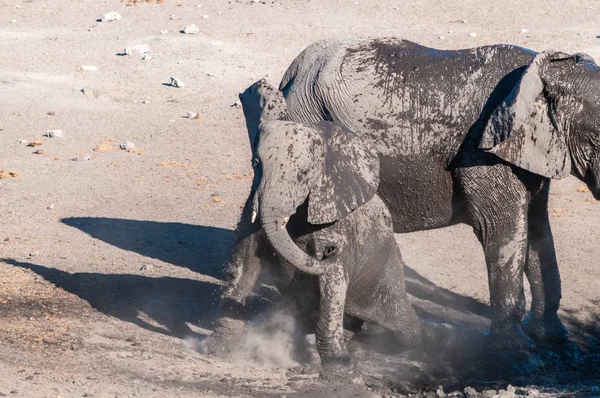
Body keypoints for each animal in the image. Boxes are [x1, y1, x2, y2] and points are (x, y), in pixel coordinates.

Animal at [204, 80, 452, 374]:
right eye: (256, 164)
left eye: (305, 174)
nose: (329, 251)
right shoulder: (253, 201)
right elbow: (244, 260)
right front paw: (216, 349)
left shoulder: (336, 219)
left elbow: (333, 282)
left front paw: (339, 369)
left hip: (389, 271)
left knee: (406, 329)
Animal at [274, 38, 600, 350]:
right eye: (597, 138)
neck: (549, 70)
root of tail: (290, 74)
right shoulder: (482, 152)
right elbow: (501, 228)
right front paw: (516, 350)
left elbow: (537, 228)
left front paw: (554, 339)